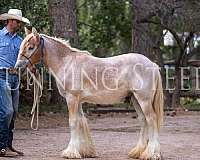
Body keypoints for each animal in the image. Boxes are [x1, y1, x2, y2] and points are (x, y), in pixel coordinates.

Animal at [14, 27, 163, 160]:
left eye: (31, 47)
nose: (17, 67)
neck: (67, 63)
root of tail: (152, 64)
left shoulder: (72, 98)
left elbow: (73, 122)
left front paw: (70, 152)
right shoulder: (78, 101)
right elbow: (81, 122)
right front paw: (85, 151)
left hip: (143, 100)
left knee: (151, 120)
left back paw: (151, 154)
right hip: (135, 99)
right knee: (143, 121)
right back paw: (138, 152)